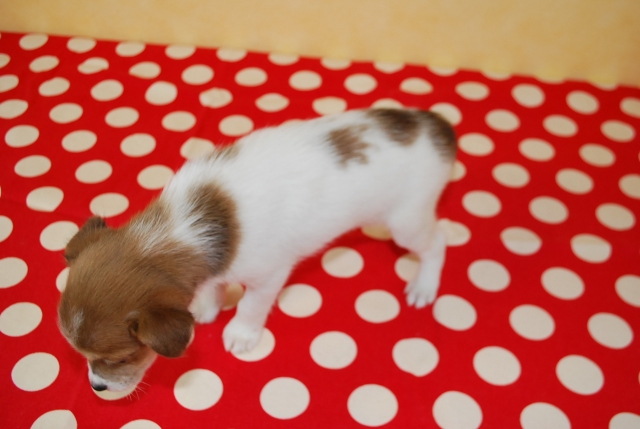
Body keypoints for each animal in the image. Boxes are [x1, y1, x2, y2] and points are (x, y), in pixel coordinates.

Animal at [58, 108, 456, 392]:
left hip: (405, 221)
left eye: (122, 359)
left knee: (437, 242)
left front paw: (240, 333)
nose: (96, 388)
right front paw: (205, 308)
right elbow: (213, 287)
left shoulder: (269, 276)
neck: (183, 226)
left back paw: (425, 285)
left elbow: (250, 305)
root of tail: (437, 128)